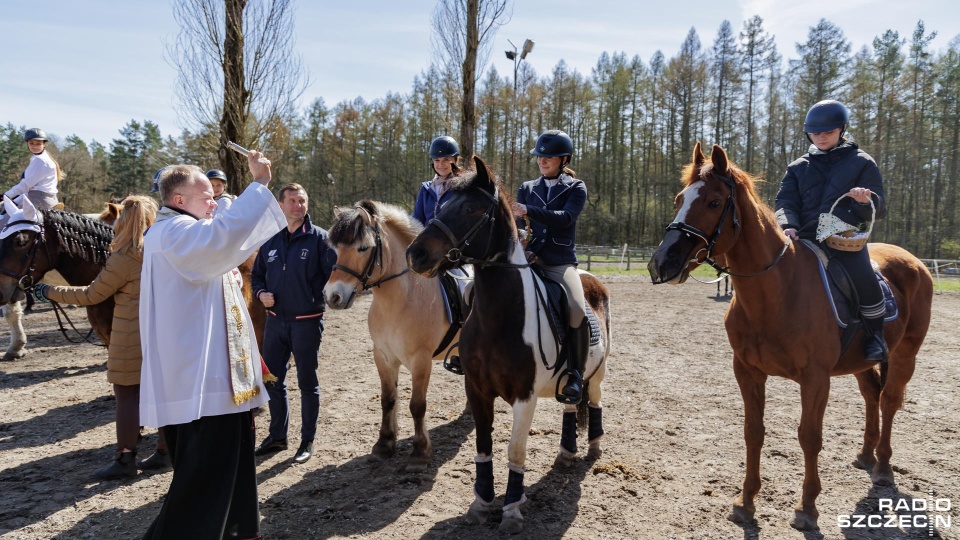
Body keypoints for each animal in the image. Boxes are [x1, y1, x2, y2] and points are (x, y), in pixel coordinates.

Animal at [322, 199, 462, 472]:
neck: (401, 300)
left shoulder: (421, 360)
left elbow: (417, 405)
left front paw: (420, 453)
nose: (332, 296)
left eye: (363, 248)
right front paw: (384, 444)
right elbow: (388, 400)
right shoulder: (383, 356)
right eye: (335, 249)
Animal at [404, 154, 608, 532]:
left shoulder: (524, 397)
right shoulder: (477, 390)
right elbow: (483, 446)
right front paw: (481, 504)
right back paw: (566, 453)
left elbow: (515, 451)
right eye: (440, 205)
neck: (499, 319)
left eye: (470, 208)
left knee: (595, 400)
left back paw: (594, 447)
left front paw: (512, 509)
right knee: (570, 406)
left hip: (597, 373)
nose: (416, 254)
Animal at [644, 143, 928, 532]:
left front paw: (807, 508)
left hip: (905, 355)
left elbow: (809, 437)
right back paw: (865, 455)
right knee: (872, 395)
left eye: (714, 202)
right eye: (678, 200)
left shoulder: (815, 378)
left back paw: (883, 466)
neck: (778, 290)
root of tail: (914, 262)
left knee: (889, 400)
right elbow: (753, 431)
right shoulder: (747, 371)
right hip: (861, 361)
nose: (662, 262)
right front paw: (746, 502)